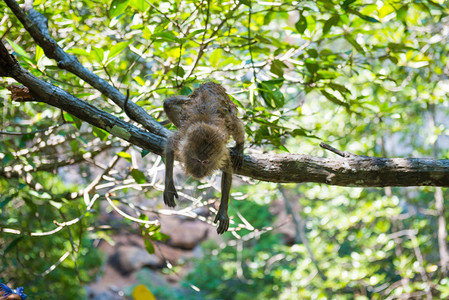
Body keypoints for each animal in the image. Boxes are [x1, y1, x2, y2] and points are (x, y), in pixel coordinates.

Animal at [162, 82, 243, 234]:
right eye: (196, 160)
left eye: (205, 162)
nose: (199, 172)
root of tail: (210, 85)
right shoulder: (182, 141)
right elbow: (170, 145)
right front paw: (169, 186)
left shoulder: (221, 153)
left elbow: (227, 170)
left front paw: (223, 211)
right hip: (192, 97)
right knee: (169, 103)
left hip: (228, 103)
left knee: (233, 121)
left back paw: (241, 146)